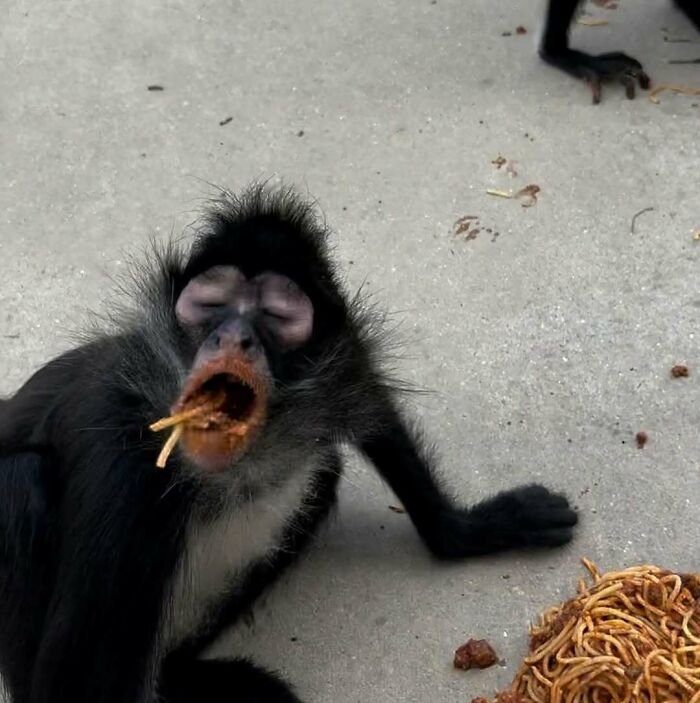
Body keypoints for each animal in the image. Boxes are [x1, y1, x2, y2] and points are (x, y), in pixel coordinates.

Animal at [0, 186, 578, 703]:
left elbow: (372, 410)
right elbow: (66, 691)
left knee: (321, 474)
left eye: (276, 316)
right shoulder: (124, 457)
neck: (231, 469)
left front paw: (470, 531)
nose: (233, 337)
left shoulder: (338, 359)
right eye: (210, 306)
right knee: (20, 479)